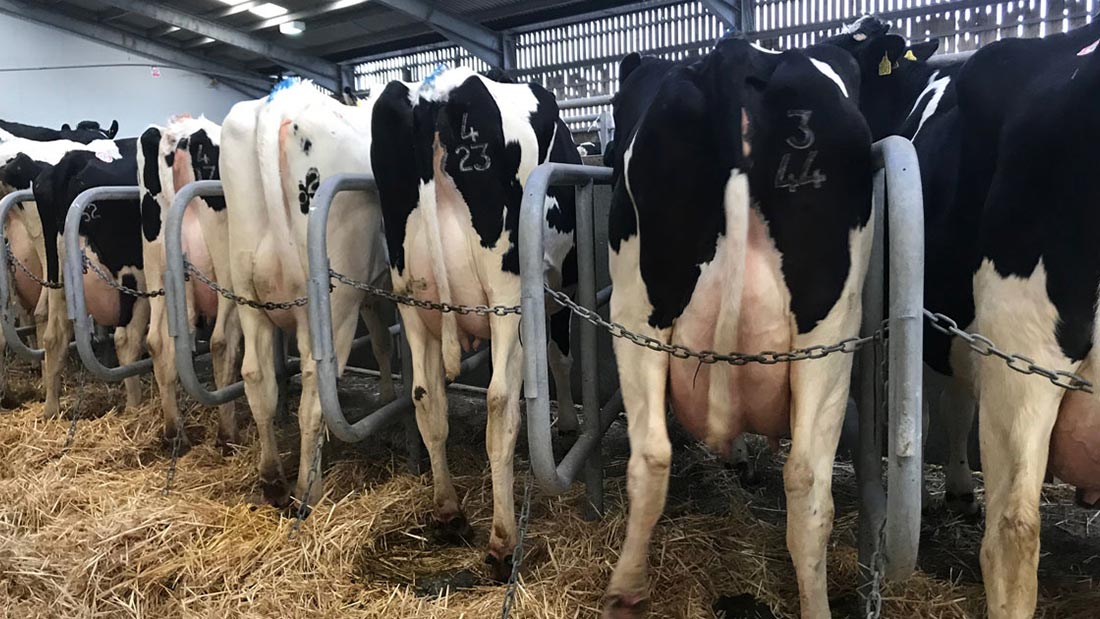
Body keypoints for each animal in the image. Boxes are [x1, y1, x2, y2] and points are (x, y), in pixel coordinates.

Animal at [33, 139, 151, 422]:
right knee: (126, 340)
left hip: (57, 279)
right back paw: (135, 408)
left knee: (54, 338)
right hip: (134, 279)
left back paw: (51, 410)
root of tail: (73, 159)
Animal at [371, 68, 585, 580]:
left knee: (426, 397)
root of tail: (433, 94)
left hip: (411, 300)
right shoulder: (559, 292)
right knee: (500, 403)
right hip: (506, 295)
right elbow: (560, 358)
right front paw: (568, 422)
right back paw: (503, 543)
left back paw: (449, 513)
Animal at [602, 36, 866, 615]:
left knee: (654, 455)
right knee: (807, 482)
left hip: (645, 317)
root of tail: (736, 51)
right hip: (830, 334)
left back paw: (625, 592)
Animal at [831, 14, 1100, 619]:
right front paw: (956, 490)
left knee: (1013, 533)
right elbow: (949, 404)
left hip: (1022, 348)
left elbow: (937, 404)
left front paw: (946, 489)